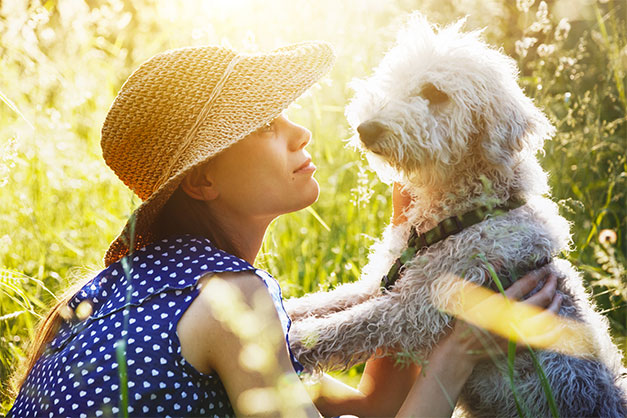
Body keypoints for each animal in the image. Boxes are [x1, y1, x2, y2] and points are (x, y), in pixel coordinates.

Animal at [286, 14, 627, 416]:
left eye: (436, 94)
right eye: (394, 80)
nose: (366, 128)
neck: (461, 216)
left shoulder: (414, 311)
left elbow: (344, 327)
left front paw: (289, 343)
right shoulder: (383, 282)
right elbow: (323, 304)